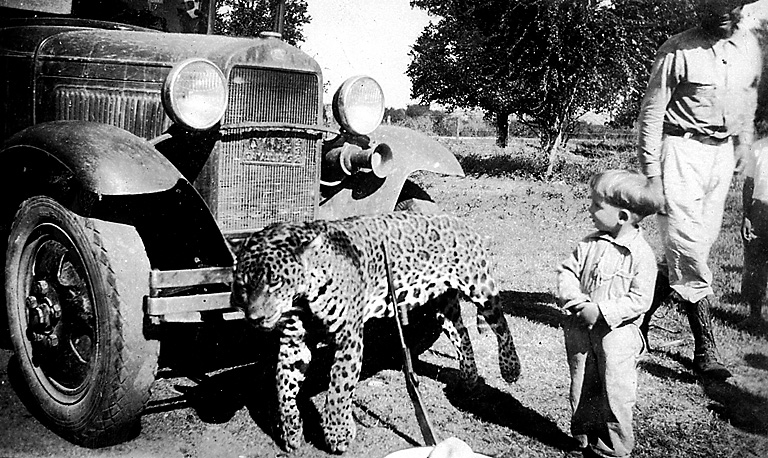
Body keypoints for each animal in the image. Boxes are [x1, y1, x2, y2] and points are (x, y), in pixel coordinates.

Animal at [231, 212, 524, 454]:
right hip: (442, 304)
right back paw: (469, 378)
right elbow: (284, 386)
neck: (303, 298)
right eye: (243, 285)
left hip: (479, 286)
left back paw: (511, 368)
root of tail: (457, 219)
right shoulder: (294, 342)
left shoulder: (348, 336)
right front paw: (291, 432)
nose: (254, 318)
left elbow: (338, 388)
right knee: (461, 333)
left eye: (274, 282)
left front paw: (338, 434)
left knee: (501, 323)